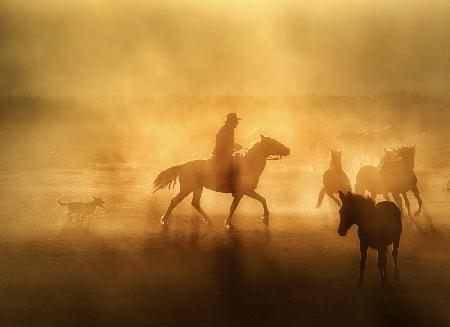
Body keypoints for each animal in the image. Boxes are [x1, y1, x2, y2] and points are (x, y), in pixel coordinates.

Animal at [153, 135, 290, 229]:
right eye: (274, 142)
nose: (288, 149)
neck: (249, 164)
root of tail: (182, 166)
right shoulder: (242, 192)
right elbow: (233, 207)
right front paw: (228, 223)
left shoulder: (247, 191)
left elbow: (262, 199)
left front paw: (265, 217)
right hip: (187, 189)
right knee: (174, 201)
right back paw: (164, 220)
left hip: (198, 188)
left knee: (195, 203)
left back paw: (208, 220)